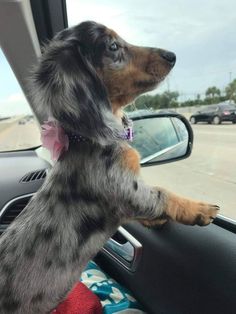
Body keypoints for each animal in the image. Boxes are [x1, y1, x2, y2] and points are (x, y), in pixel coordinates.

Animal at [0, 20, 219, 312]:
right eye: (113, 46)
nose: (172, 56)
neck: (87, 138)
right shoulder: (124, 187)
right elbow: (162, 194)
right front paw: (199, 209)